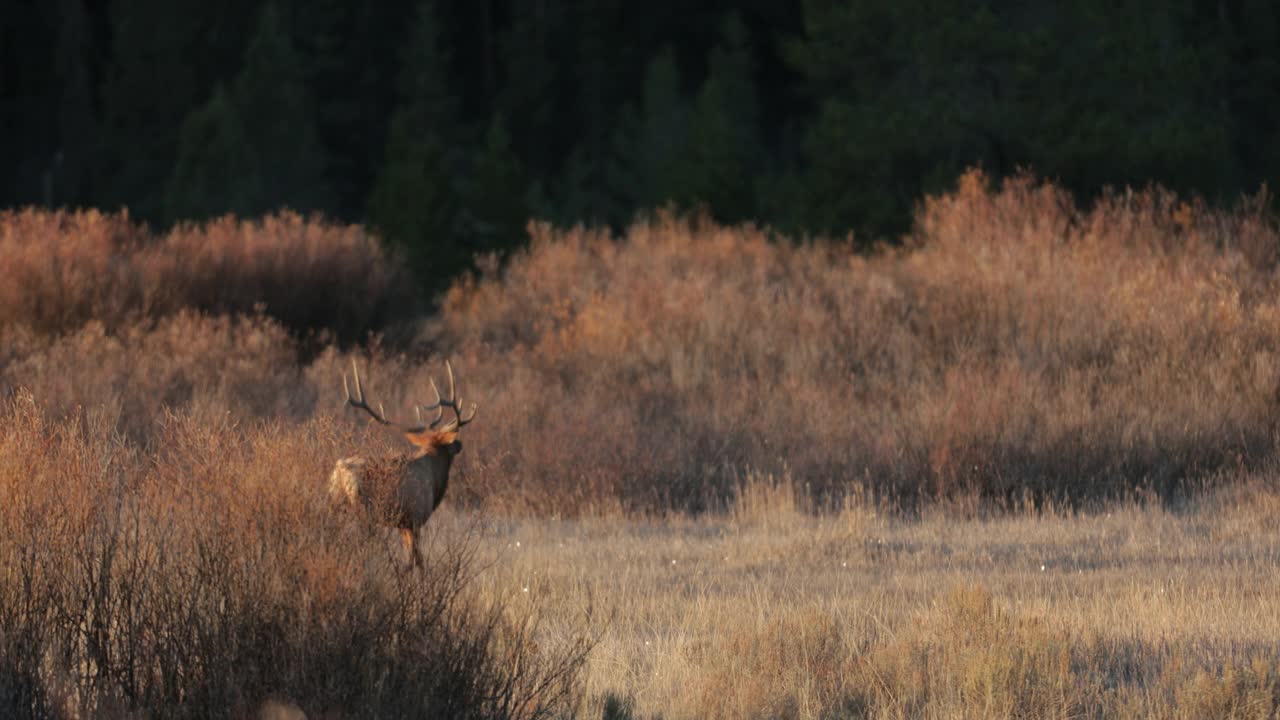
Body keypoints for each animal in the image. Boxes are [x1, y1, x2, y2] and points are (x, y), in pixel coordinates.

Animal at [327, 358, 478, 566]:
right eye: (451, 442)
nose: (460, 444)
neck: (435, 480)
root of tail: (341, 473)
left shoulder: (403, 524)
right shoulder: (415, 517)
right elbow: (417, 560)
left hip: (334, 504)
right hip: (366, 512)